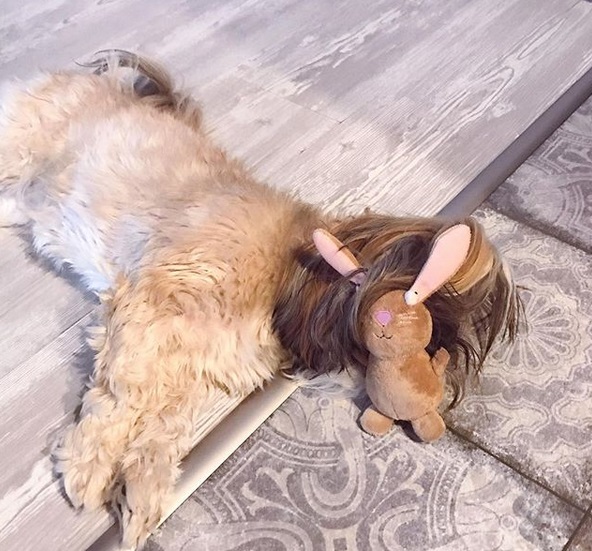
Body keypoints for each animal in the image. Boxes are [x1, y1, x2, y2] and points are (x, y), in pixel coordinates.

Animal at [0, 50, 520, 548]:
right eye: (420, 309)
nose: (435, 370)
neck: (288, 272)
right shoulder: (153, 306)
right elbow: (124, 395)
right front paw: (89, 467)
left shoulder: (189, 365)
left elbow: (166, 424)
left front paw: (143, 488)